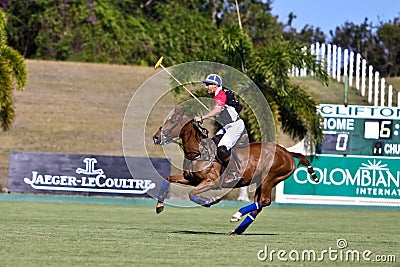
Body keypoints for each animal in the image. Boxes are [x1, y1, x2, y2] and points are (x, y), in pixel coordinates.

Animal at [152, 108, 318, 234]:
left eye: (173, 121)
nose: (155, 138)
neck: (198, 152)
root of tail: (288, 153)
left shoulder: (212, 181)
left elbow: (191, 194)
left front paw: (209, 201)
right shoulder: (190, 179)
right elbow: (168, 179)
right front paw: (159, 206)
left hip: (270, 178)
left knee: (265, 201)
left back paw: (236, 215)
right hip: (260, 181)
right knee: (259, 204)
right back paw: (237, 229)